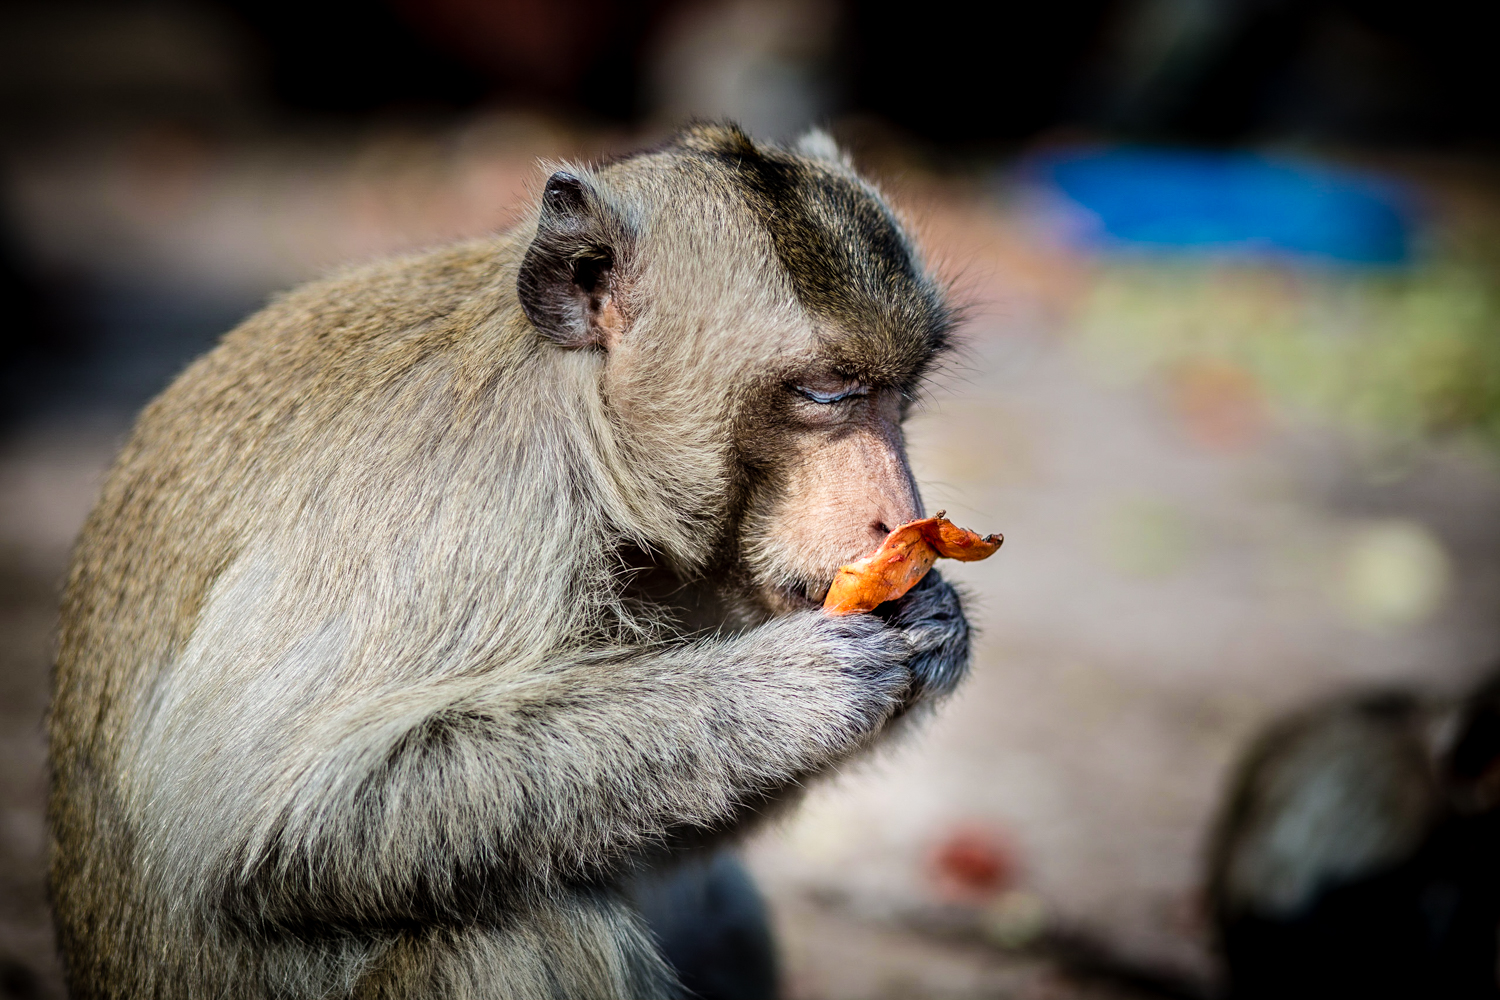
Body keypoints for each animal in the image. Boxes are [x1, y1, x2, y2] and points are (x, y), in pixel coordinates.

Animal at [43, 125, 972, 1000]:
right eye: (826, 393)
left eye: (898, 393)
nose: (899, 511)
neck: (576, 413)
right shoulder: (456, 501)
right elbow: (260, 818)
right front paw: (789, 697)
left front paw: (937, 622)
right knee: (517, 931)